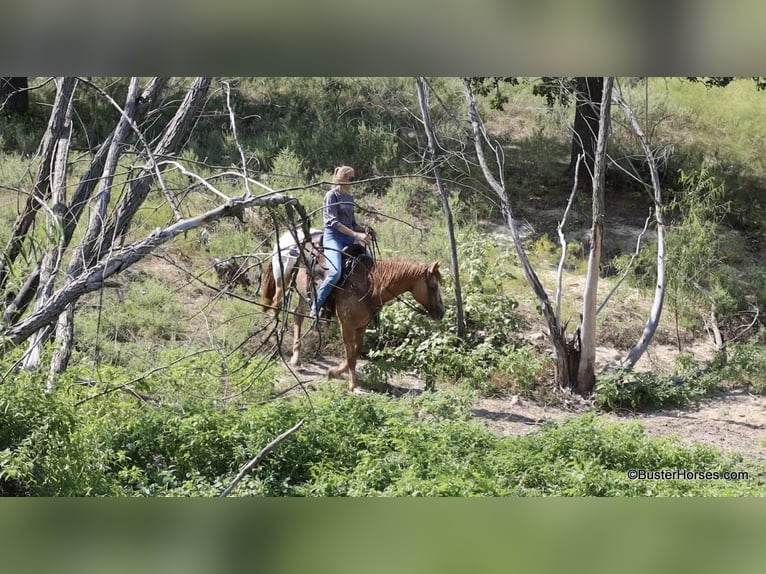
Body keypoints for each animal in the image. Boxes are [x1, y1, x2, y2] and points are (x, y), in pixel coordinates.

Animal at [261, 243, 446, 392]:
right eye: (433, 286)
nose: (441, 313)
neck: (370, 284)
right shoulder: (347, 325)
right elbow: (350, 353)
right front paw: (353, 385)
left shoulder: (362, 325)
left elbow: (357, 351)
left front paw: (335, 371)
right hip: (282, 284)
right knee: (276, 307)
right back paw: (272, 341)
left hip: (303, 296)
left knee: (297, 318)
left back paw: (295, 358)